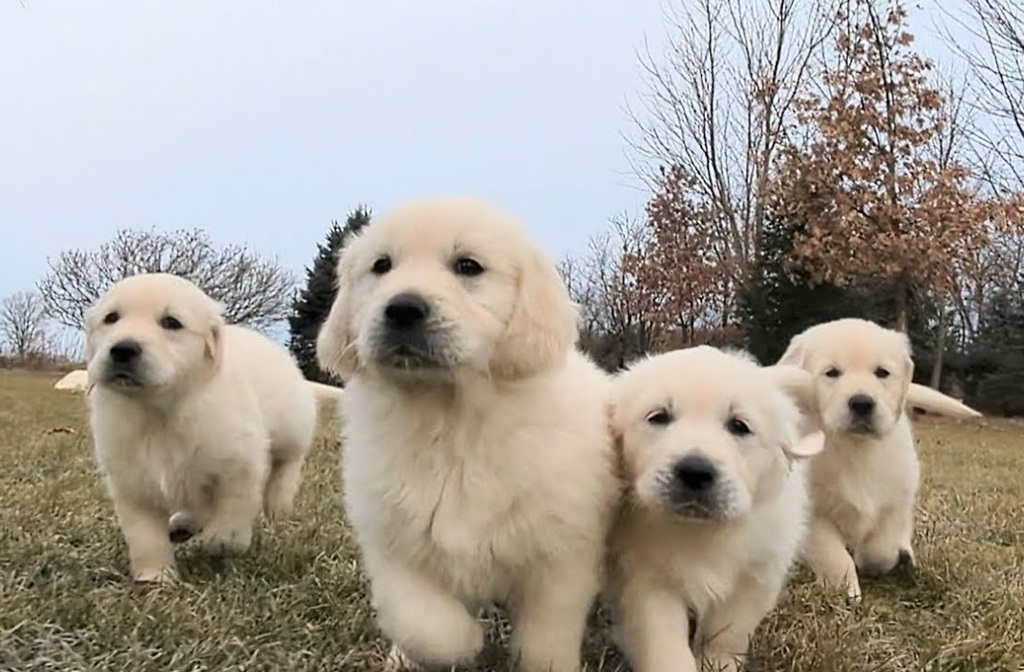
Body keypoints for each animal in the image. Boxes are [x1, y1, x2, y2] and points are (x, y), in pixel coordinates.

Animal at [88, 272, 315, 581]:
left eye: (171, 322)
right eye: (111, 318)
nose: (123, 349)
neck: (159, 410)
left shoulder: (240, 466)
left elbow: (230, 525)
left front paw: (210, 543)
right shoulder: (132, 483)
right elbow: (145, 535)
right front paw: (156, 575)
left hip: (292, 422)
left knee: (289, 459)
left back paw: (278, 501)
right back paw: (183, 523)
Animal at [313, 196, 614, 672]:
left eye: (468, 266)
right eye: (382, 265)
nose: (402, 309)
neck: (452, 420)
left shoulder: (561, 558)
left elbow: (545, 639)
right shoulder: (394, 546)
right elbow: (428, 624)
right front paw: (463, 643)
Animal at [606, 346, 823, 672]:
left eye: (739, 426)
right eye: (659, 417)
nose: (695, 472)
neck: (700, 530)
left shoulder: (756, 574)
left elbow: (728, 630)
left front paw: (718, 661)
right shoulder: (646, 579)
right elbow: (664, 639)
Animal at [782, 317, 983, 602]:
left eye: (882, 373)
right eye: (831, 373)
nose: (862, 403)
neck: (856, 449)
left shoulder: (896, 500)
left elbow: (881, 546)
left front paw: (880, 563)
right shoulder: (814, 513)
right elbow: (834, 555)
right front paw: (846, 590)